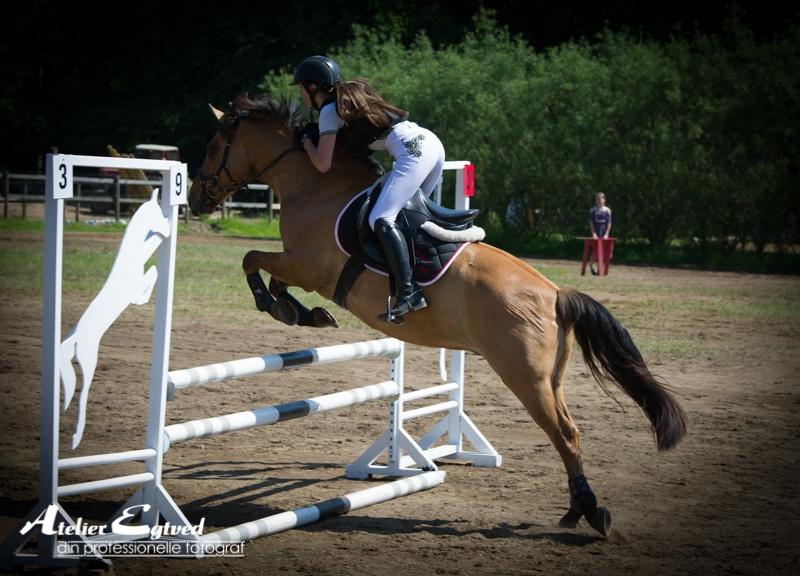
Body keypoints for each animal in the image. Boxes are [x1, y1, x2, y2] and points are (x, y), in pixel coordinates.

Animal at [188, 94, 687, 536]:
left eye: (212, 147)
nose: (194, 200)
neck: (315, 186)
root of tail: (554, 293)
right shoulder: (302, 267)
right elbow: (271, 276)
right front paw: (300, 312)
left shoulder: (308, 266)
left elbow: (252, 259)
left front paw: (279, 306)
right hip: (551, 379)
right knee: (571, 430)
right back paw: (574, 510)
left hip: (525, 378)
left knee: (564, 433)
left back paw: (589, 511)